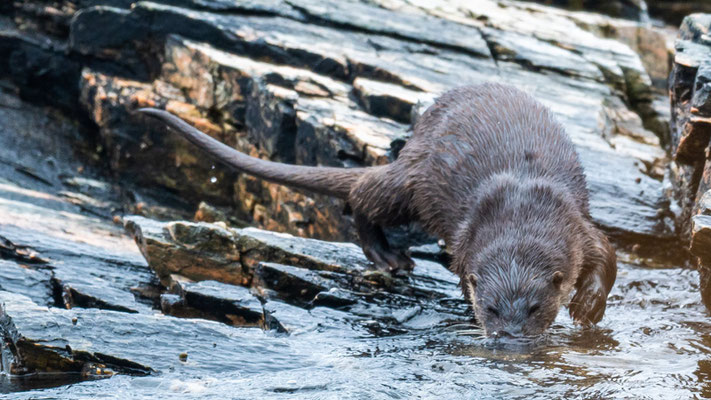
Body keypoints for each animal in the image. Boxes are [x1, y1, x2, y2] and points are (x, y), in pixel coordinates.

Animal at [139, 84, 616, 338]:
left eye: (534, 308)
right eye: (492, 309)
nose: (509, 339)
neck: (521, 204)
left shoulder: (576, 223)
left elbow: (607, 257)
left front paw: (588, 305)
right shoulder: (468, 238)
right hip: (412, 185)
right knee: (361, 195)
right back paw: (389, 256)